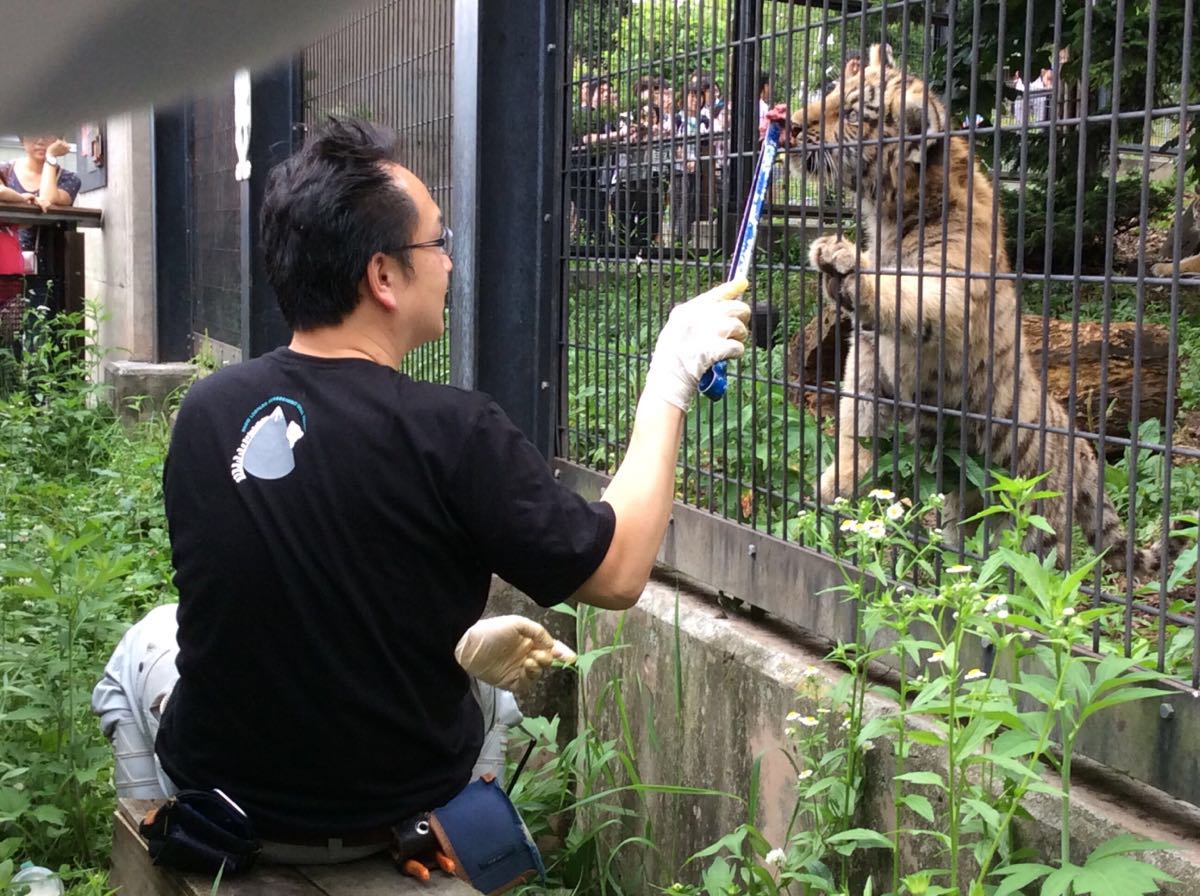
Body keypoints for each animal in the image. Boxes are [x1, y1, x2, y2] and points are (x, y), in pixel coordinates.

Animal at [792, 43, 1185, 582]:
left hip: (1032, 527)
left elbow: (907, 293)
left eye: (851, 113)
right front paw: (830, 490)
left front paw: (845, 259)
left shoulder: (949, 293)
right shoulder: (869, 363)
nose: (788, 124)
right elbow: (856, 430)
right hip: (965, 510)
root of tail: (1082, 448)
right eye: (831, 94)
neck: (889, 211)